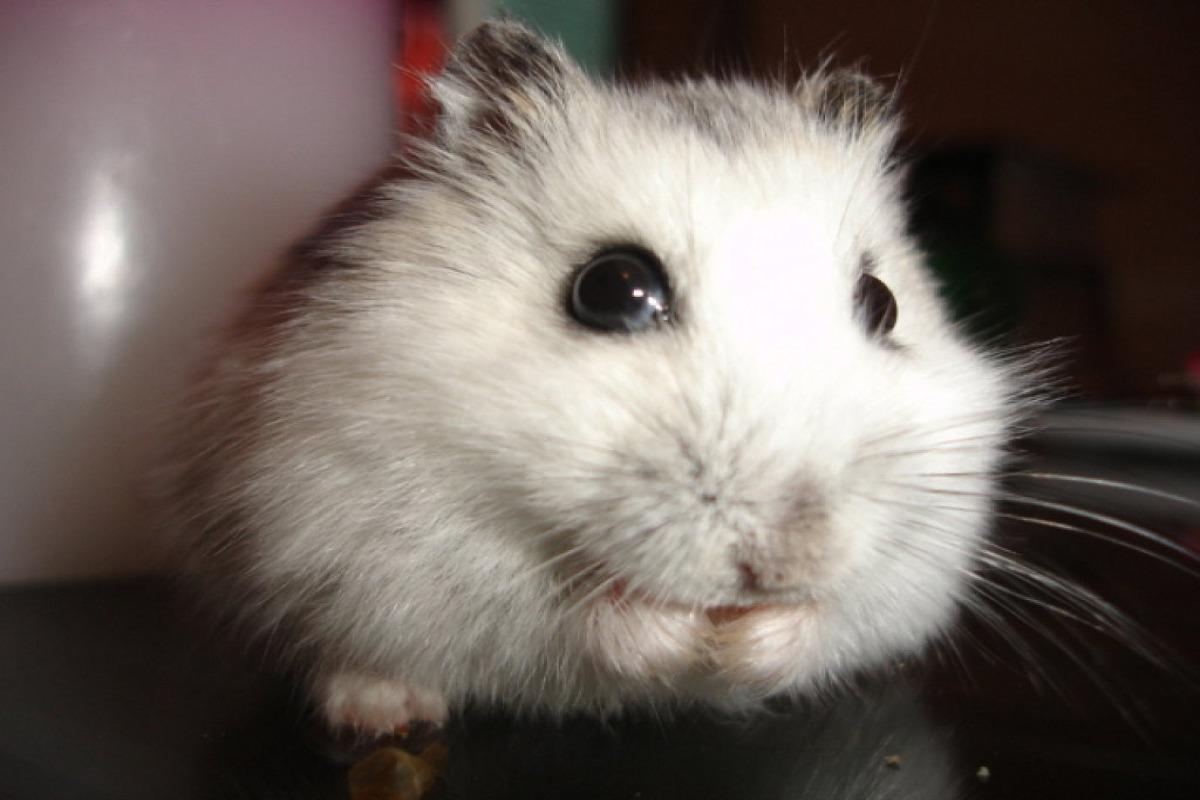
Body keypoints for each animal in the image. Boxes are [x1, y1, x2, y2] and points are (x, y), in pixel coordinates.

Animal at [159, 21, 1026, 735]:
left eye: (882, 304)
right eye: (613, 289)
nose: (784, 564)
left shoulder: (922, 554)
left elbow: (829, 621)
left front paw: (752, 638)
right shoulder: (406, 539)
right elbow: (576, 616)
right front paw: (678, 631)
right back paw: (385, 713)